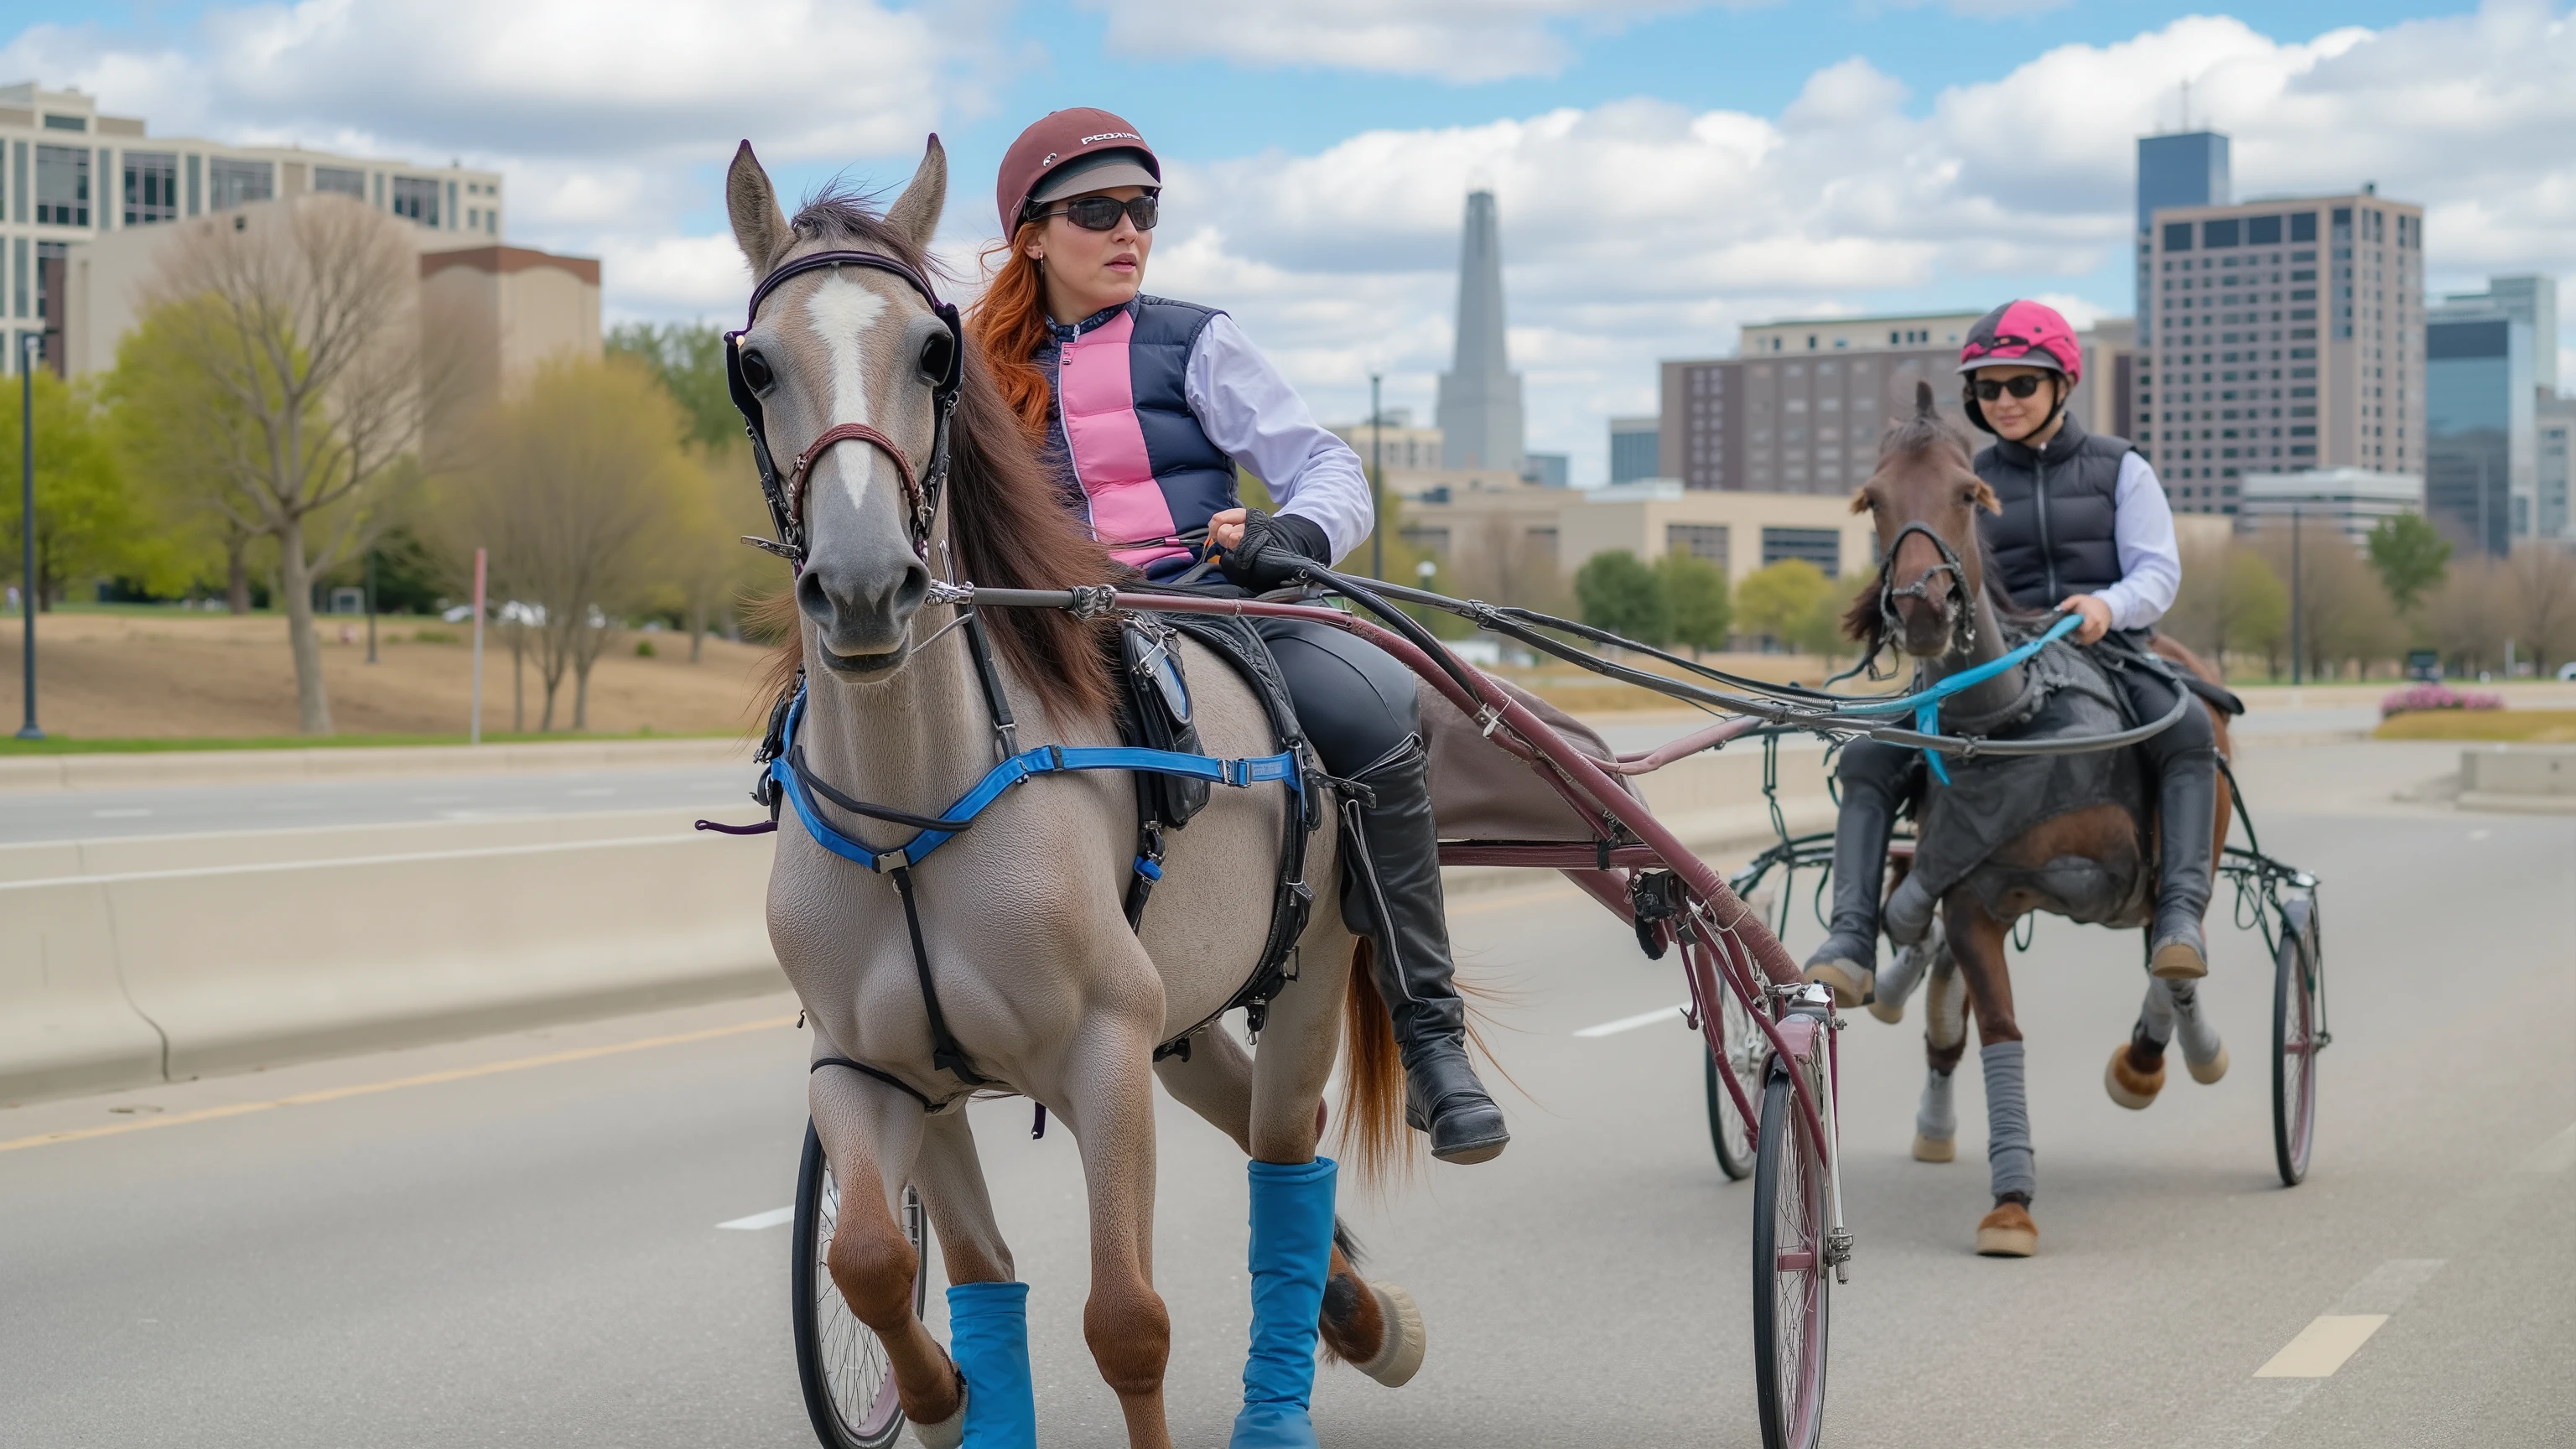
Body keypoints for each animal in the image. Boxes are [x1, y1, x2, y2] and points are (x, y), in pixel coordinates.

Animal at [726, 137, 1423, 1448]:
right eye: (754, 365)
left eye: (934, 350)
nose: (864, 585)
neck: (914, 815)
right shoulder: (875, 1068)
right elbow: (887, 1262)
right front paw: (942, 1392)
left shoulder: (1106, 1053)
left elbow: (1126, 1320)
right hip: (1182, 1019)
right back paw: (1356, 1311)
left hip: (1309, 970)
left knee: (1284, 1154)